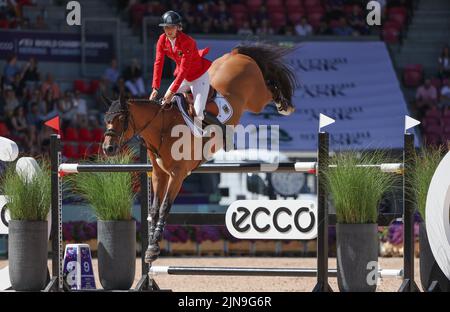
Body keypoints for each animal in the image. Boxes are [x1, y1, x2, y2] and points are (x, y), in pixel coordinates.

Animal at [102, 43, 298, 264]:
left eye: (121, 120)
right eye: (106, 119)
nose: (108, 149)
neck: (162, 127)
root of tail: (235, 54)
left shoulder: (177, 175)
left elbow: (164, 207)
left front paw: (153, 249)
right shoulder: (159, 174)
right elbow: (154, 209)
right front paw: (151, 248)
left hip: (256, 99)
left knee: (269, 86)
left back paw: (285, 105)